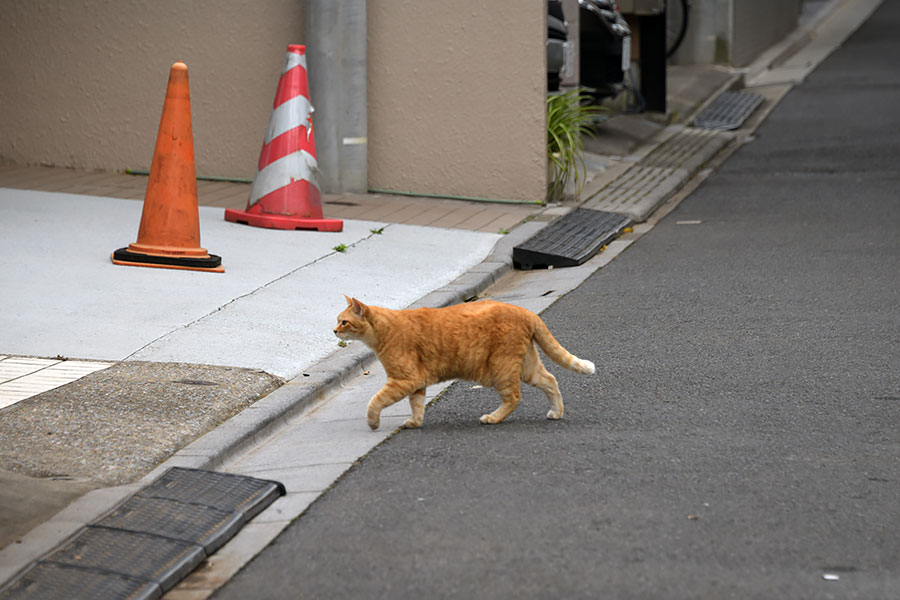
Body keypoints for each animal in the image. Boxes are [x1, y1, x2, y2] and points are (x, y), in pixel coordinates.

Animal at [334, 294, 596, 426]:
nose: (334, 331)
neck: (384, 331)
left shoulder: (403, 379)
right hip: (526, 367)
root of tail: (526, 312)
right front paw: (415, 422)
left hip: (501, 369)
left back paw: (493, 418)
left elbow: (375, 401)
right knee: (551, 381)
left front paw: (373, 423)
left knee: (514, 397)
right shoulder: (416, 383)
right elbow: (416, 405)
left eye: (344, 322)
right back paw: (556, 413)